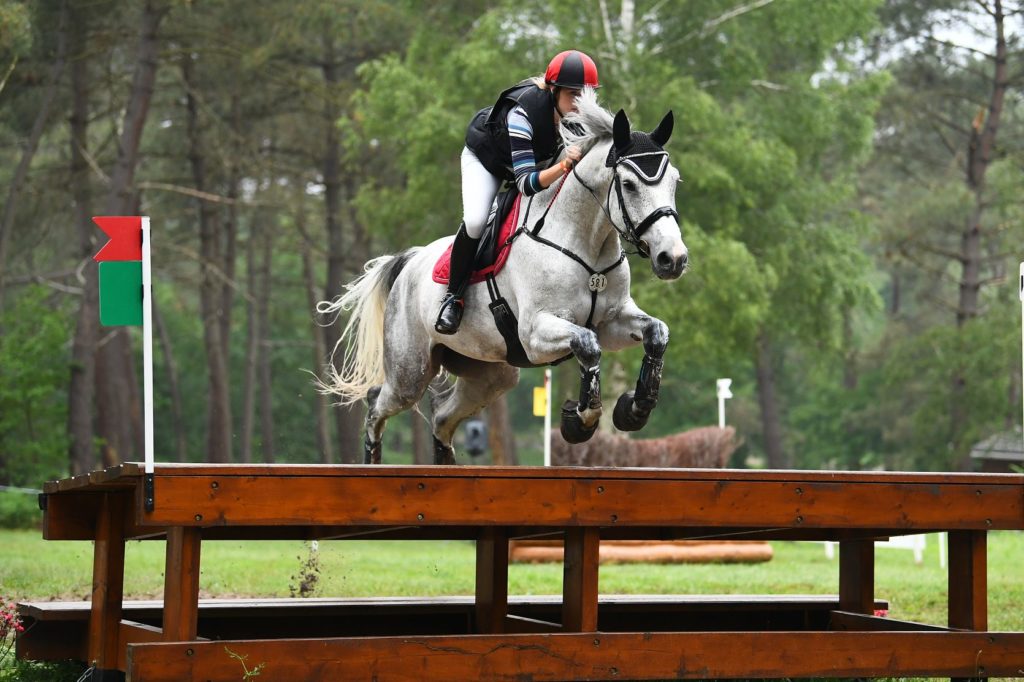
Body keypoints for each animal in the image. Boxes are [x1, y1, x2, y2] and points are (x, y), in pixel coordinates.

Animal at [317, 89, 688, 462]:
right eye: (628, 184)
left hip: (491, 372)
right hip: (411, 371)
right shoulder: (535, 333)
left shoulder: (611, 321)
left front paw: (634, 409)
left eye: (675, 181)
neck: (584, 242)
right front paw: (581, 421)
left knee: (442, 417)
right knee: (377, 404)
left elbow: (657, 333)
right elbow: (587, 345)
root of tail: (409, 261)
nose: (673, 259)